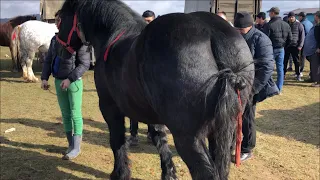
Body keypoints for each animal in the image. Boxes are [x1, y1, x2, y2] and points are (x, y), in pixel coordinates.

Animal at [56, 0, 254, 179]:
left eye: (60, 18)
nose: (59, 50)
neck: (112, 37)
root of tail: (212, 33)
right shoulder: (154, 114)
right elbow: (160, 139)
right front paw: (168, 173)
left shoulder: (109, 107)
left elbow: (117, 140)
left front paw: (120, 173)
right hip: (222, 130)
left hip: (189, 138)